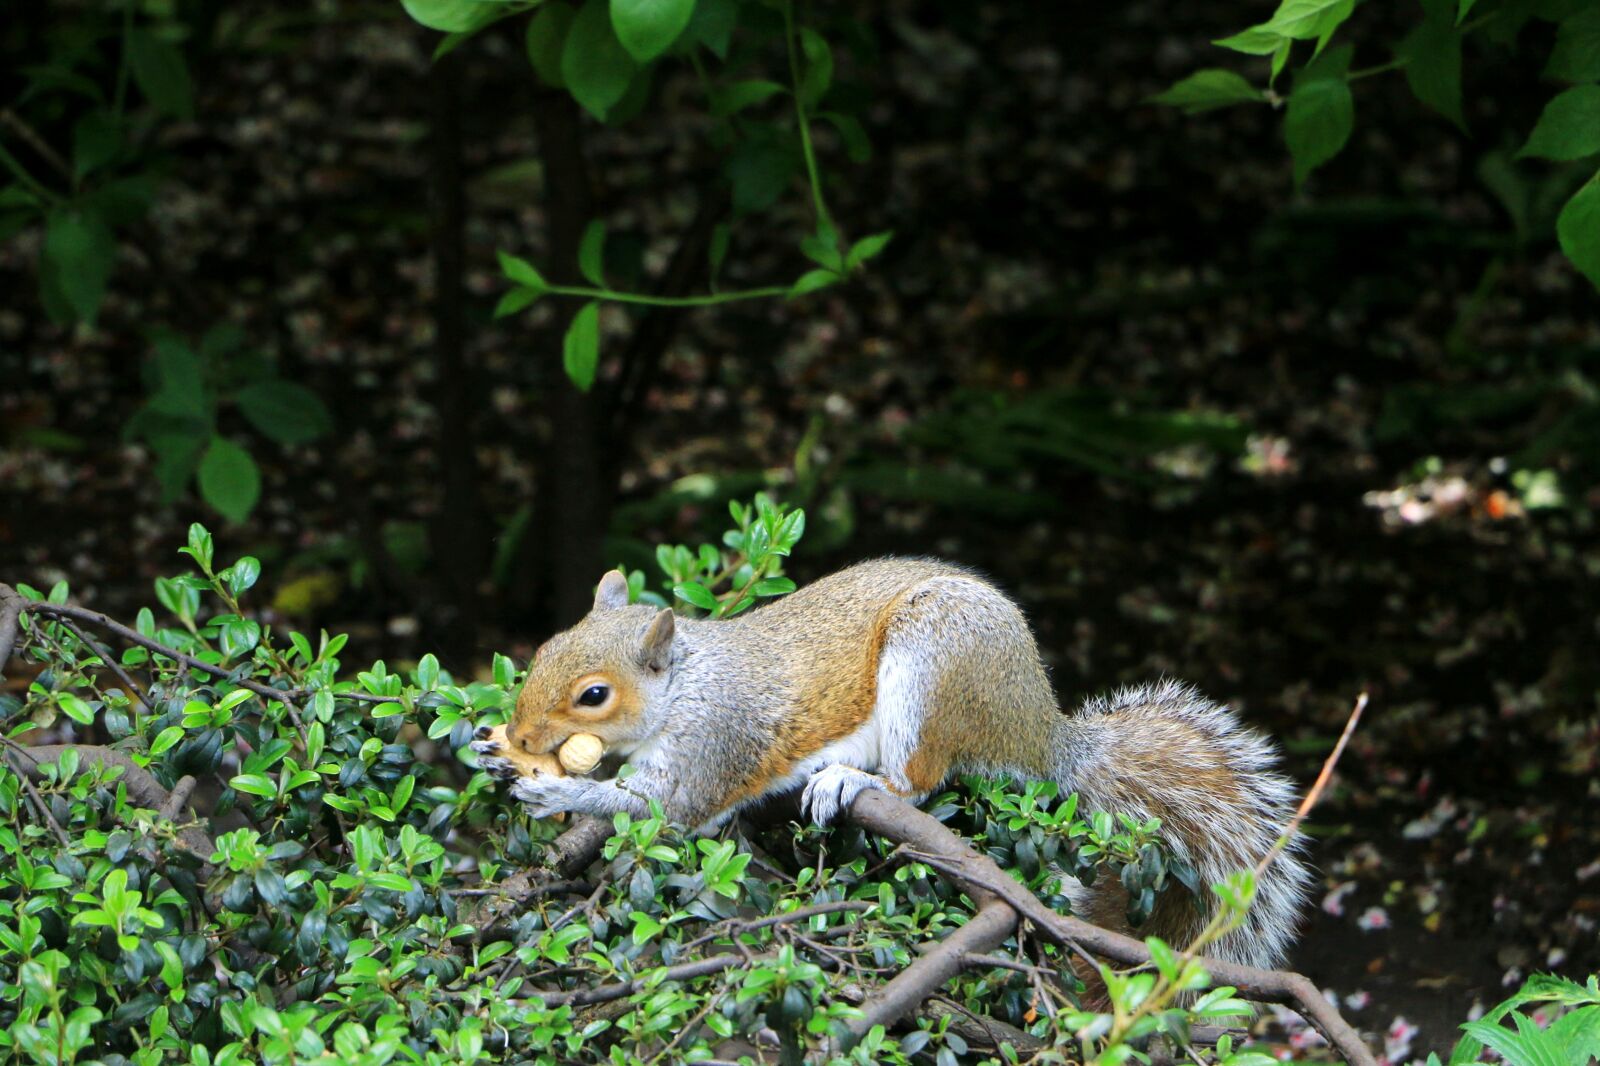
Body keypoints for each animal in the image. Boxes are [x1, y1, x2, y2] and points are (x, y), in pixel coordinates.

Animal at [473, 557, 1310, 968]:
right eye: (544, 648)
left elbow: (666, 810)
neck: (684, 684)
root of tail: (1040, 732)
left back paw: (856, 780)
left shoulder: (715, 739)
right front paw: (492, 750)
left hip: (933, 662)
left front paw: (559, 795)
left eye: (593, 695)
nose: (523, 733)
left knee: (921, 779)